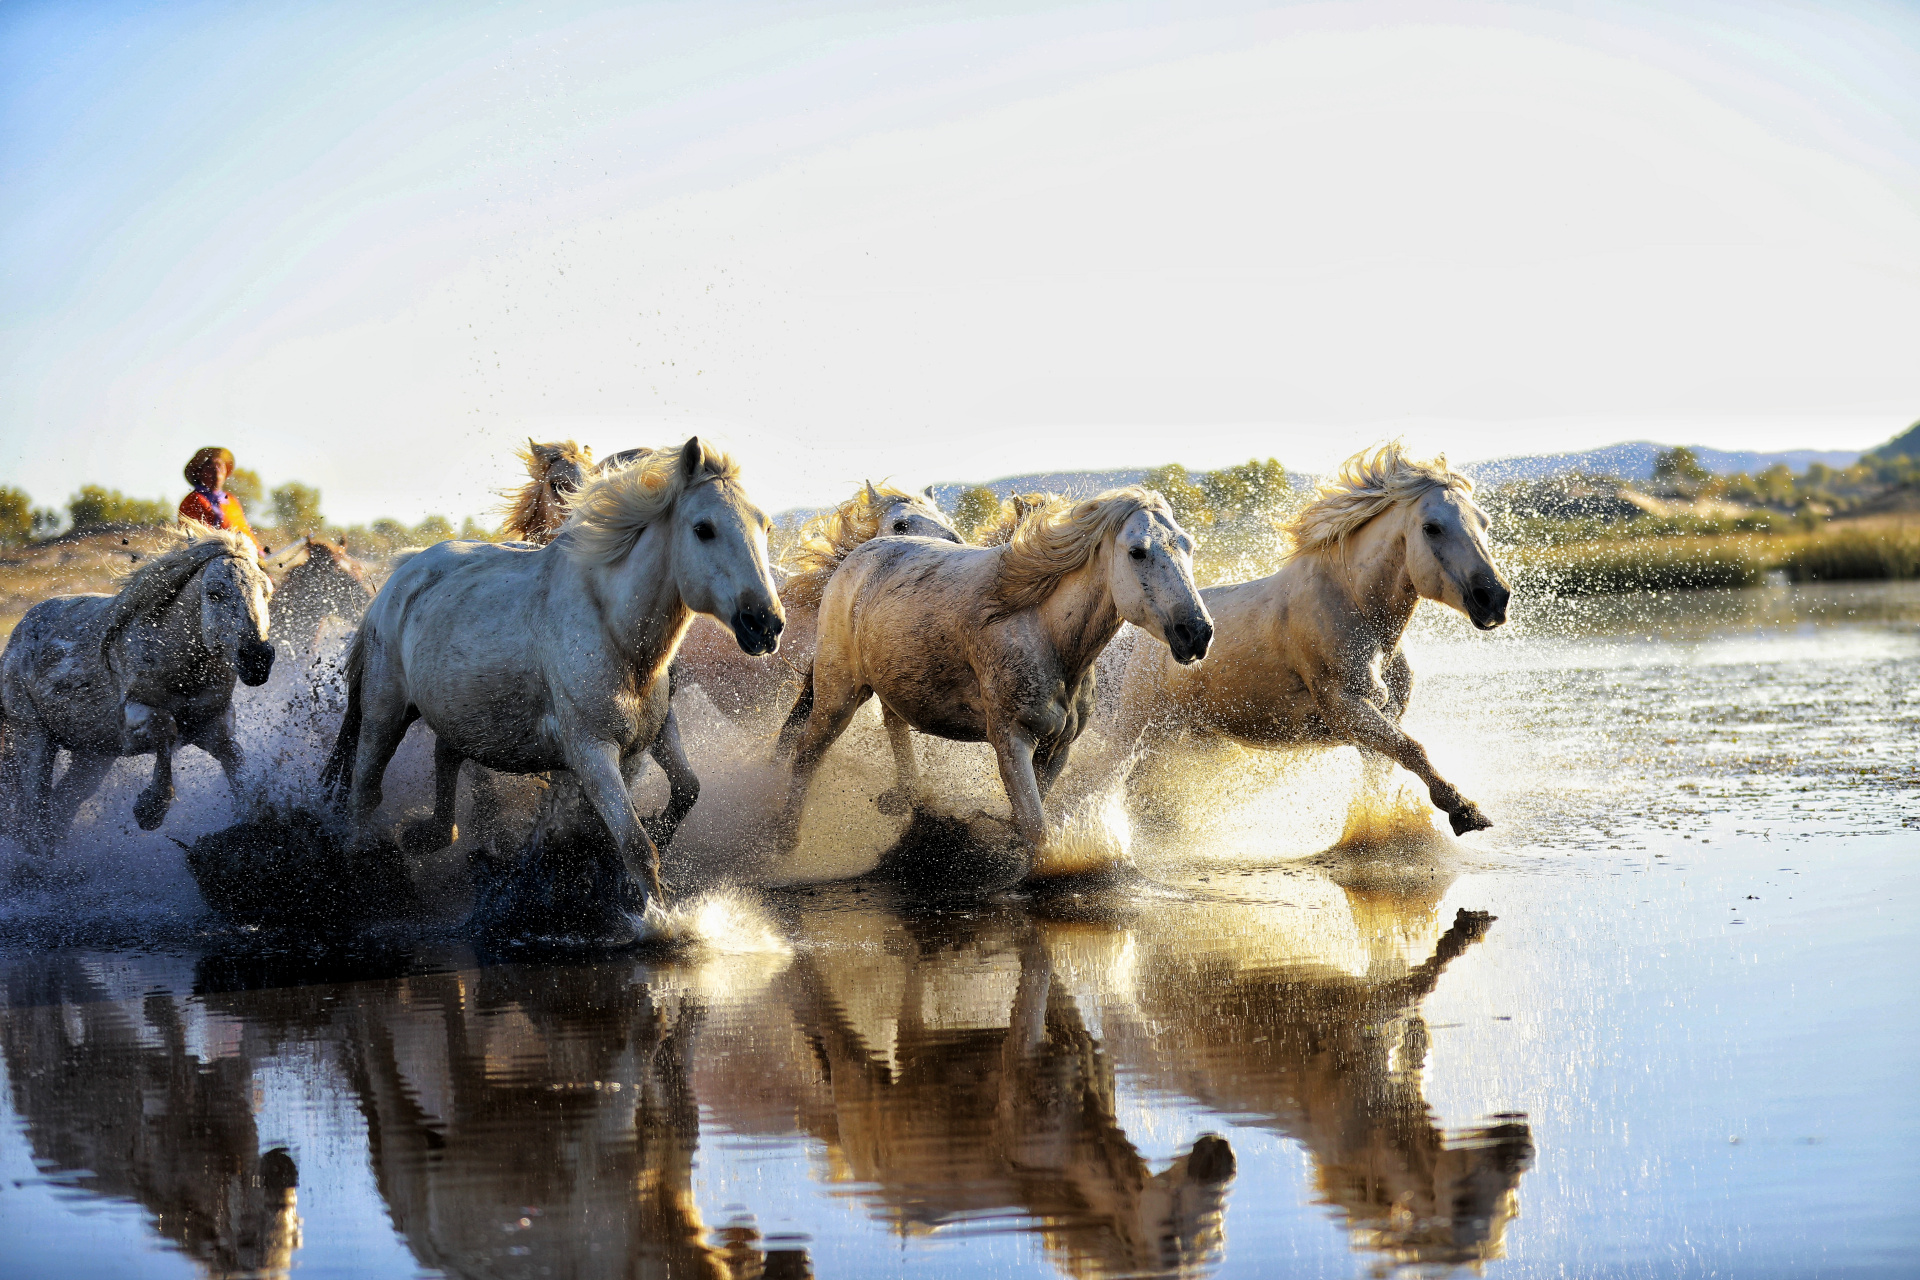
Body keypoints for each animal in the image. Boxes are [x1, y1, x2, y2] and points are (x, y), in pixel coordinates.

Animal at [0, 525, 278, 855]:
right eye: (214, 593)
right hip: (33, 736)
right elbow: (166, 729)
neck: (180, 666)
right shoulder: (133, 720)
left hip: (92, 756)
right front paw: (151, 809)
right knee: (36, 812)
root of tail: (17, 635)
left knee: (61, 806)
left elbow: (238, 768)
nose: (257, 659)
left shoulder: (215, 728)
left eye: (267, 591)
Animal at [322, 437, 779, 932]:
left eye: (765, 525)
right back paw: (366, 876)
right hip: (385, 714)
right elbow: (635, 845)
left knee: (446, 759)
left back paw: (429, 836)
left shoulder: (655, 732)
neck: (616, 634)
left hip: (460, 714)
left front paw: (652, 847)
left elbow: (686, 790)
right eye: (703, 528)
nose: (766, 624)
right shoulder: (591, 751)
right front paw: (660, 922)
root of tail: (399, 577)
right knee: (364, 791)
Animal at [775, 485, 1205, 867]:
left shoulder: (1058, 749)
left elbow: (1030, 820)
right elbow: (1036, 829)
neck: (1044, 630)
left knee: (891, 720)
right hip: (839, 695)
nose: (1198, 632)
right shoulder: (1011, 741)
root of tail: (857, 557)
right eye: (1138, 551)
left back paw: (905, 797)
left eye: (1187, 544)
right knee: (806, 753)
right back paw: (784, 841)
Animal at [1105, 445, 1505, 836]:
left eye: (1484, 522)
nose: (1495, 598)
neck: (1359, 614)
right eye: (1431, 527)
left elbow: (1389, 769)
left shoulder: (1382, 719)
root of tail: (1141, 643)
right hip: (1144, 733)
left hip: (1198, 739)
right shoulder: (1347, 707)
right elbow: (1413, 749)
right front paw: (1465, 811)